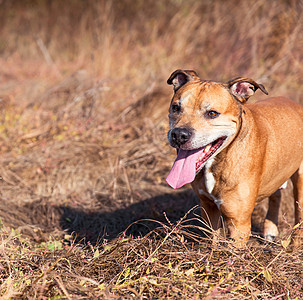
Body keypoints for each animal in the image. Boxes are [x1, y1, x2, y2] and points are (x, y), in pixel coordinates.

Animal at [166, 69, 303, 246]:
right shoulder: (209, 209)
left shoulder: (238, 224)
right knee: (276, 194)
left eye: (212, 113)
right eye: (176, 107)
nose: (179, 134)